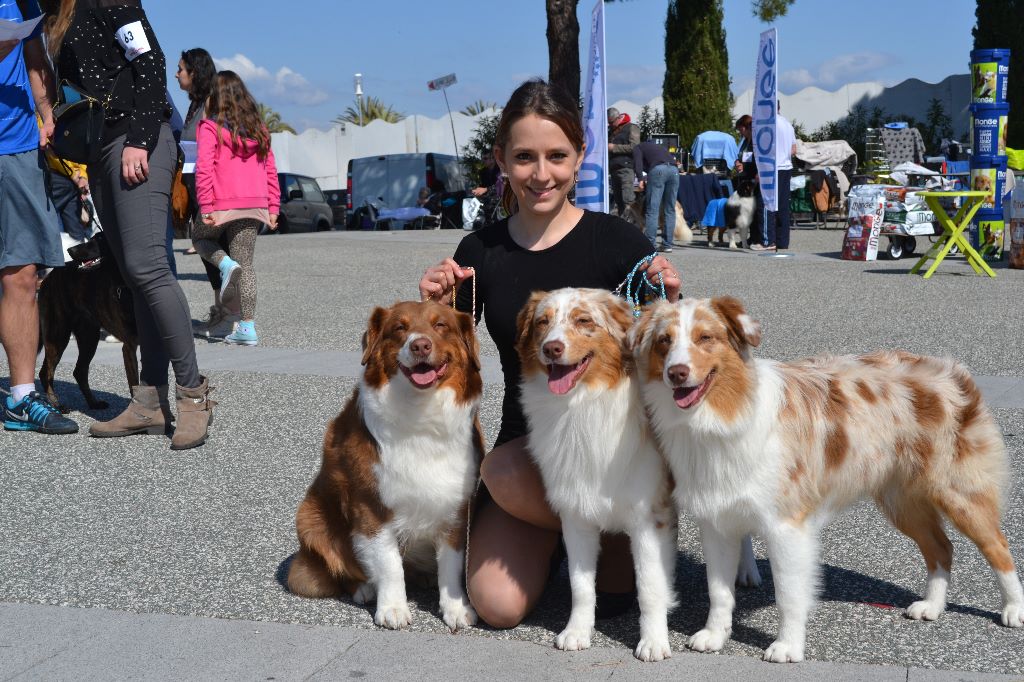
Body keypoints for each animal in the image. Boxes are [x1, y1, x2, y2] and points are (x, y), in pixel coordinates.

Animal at [38, 241, 139, 411]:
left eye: (98, 239)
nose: (70, 249)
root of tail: (49, 276)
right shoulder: (129, 347)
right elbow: (135, 385)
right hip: (58, 336)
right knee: (46, 372)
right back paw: (57, 405)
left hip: (89, 337)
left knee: (79, 371)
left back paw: (93, 402)